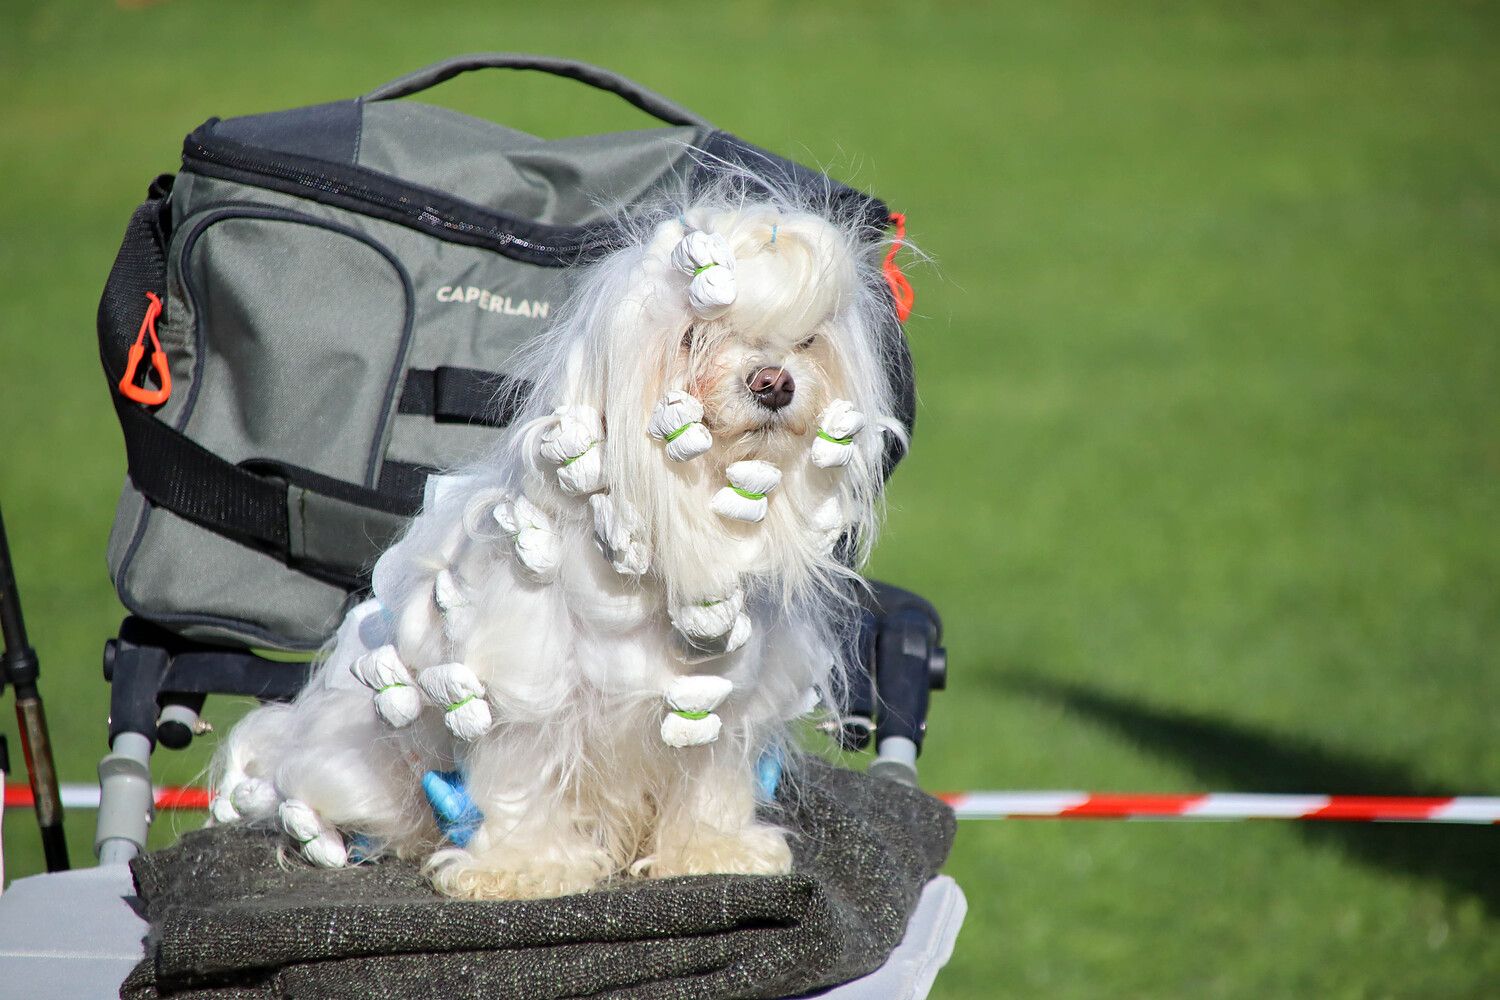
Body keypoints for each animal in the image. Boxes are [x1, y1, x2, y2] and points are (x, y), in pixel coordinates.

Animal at [213, 183, 906, 905]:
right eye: (692, 336)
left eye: (807, 342)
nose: (775, 381)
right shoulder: (524, 679)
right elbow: (523, 775)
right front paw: (520, 868)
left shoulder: (724, 698)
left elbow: (710, 774)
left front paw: (714, 852)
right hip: (360, 766)